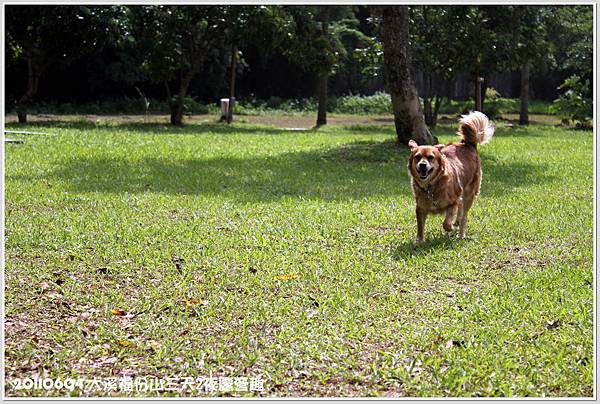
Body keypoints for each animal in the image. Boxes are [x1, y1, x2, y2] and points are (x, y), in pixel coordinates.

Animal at [408, 110, 492, 243]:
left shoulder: (452, 203)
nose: (422, 165)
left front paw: (451, 227)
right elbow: (420, 226)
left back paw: (460, 233)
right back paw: (457, 222)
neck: (431, 186)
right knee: (461, 207)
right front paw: (419, 241)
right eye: (417, 157)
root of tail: (468, 145)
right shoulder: (420, 208)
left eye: (431, 157)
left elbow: (446, 223)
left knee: (464, 215)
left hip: (469, 193)